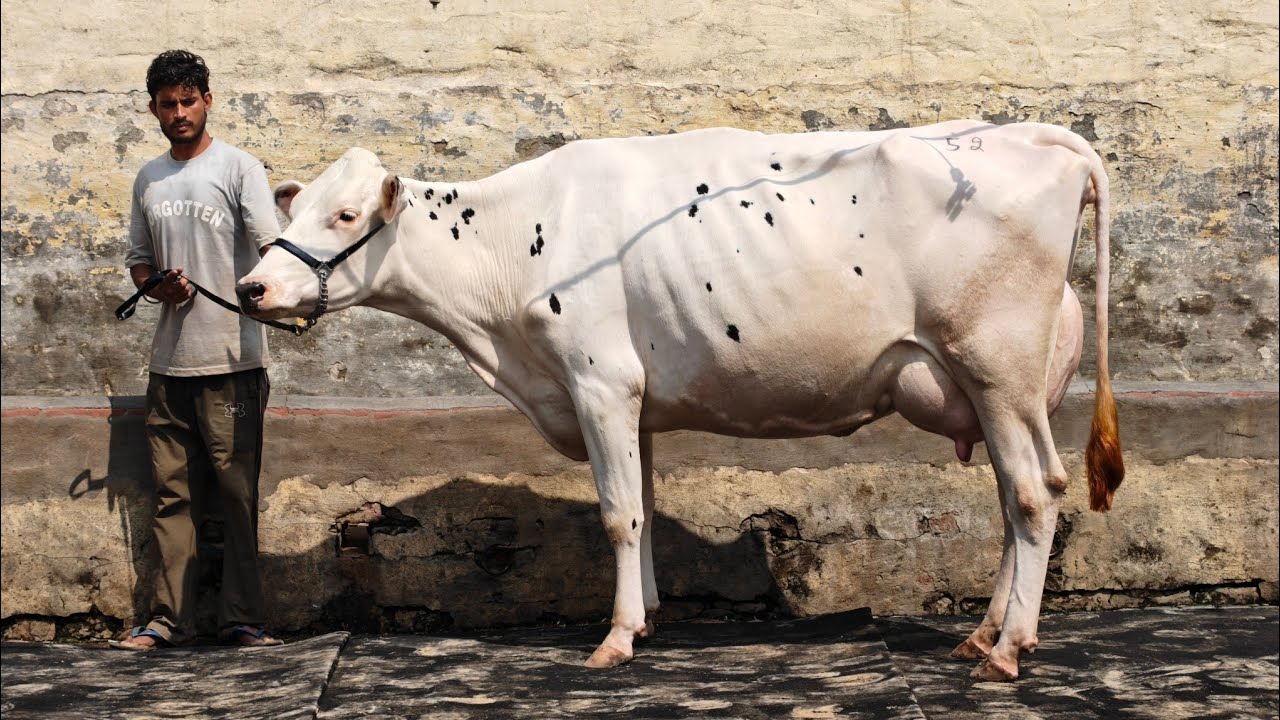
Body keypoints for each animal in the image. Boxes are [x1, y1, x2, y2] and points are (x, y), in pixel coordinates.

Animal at [237, 119, 1123, 681]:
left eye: (345, 215)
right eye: (295, 205)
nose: (252, 287)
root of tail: (1037, 134)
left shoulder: (598, 380)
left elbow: (617, 514)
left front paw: (615, 640)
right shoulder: (635, 399)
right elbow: (644, 502)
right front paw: (649, 615)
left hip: (996, 365)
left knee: (1035, 493)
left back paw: (1008, 650)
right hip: (995, 388)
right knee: (1016, 496)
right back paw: (983, 635)